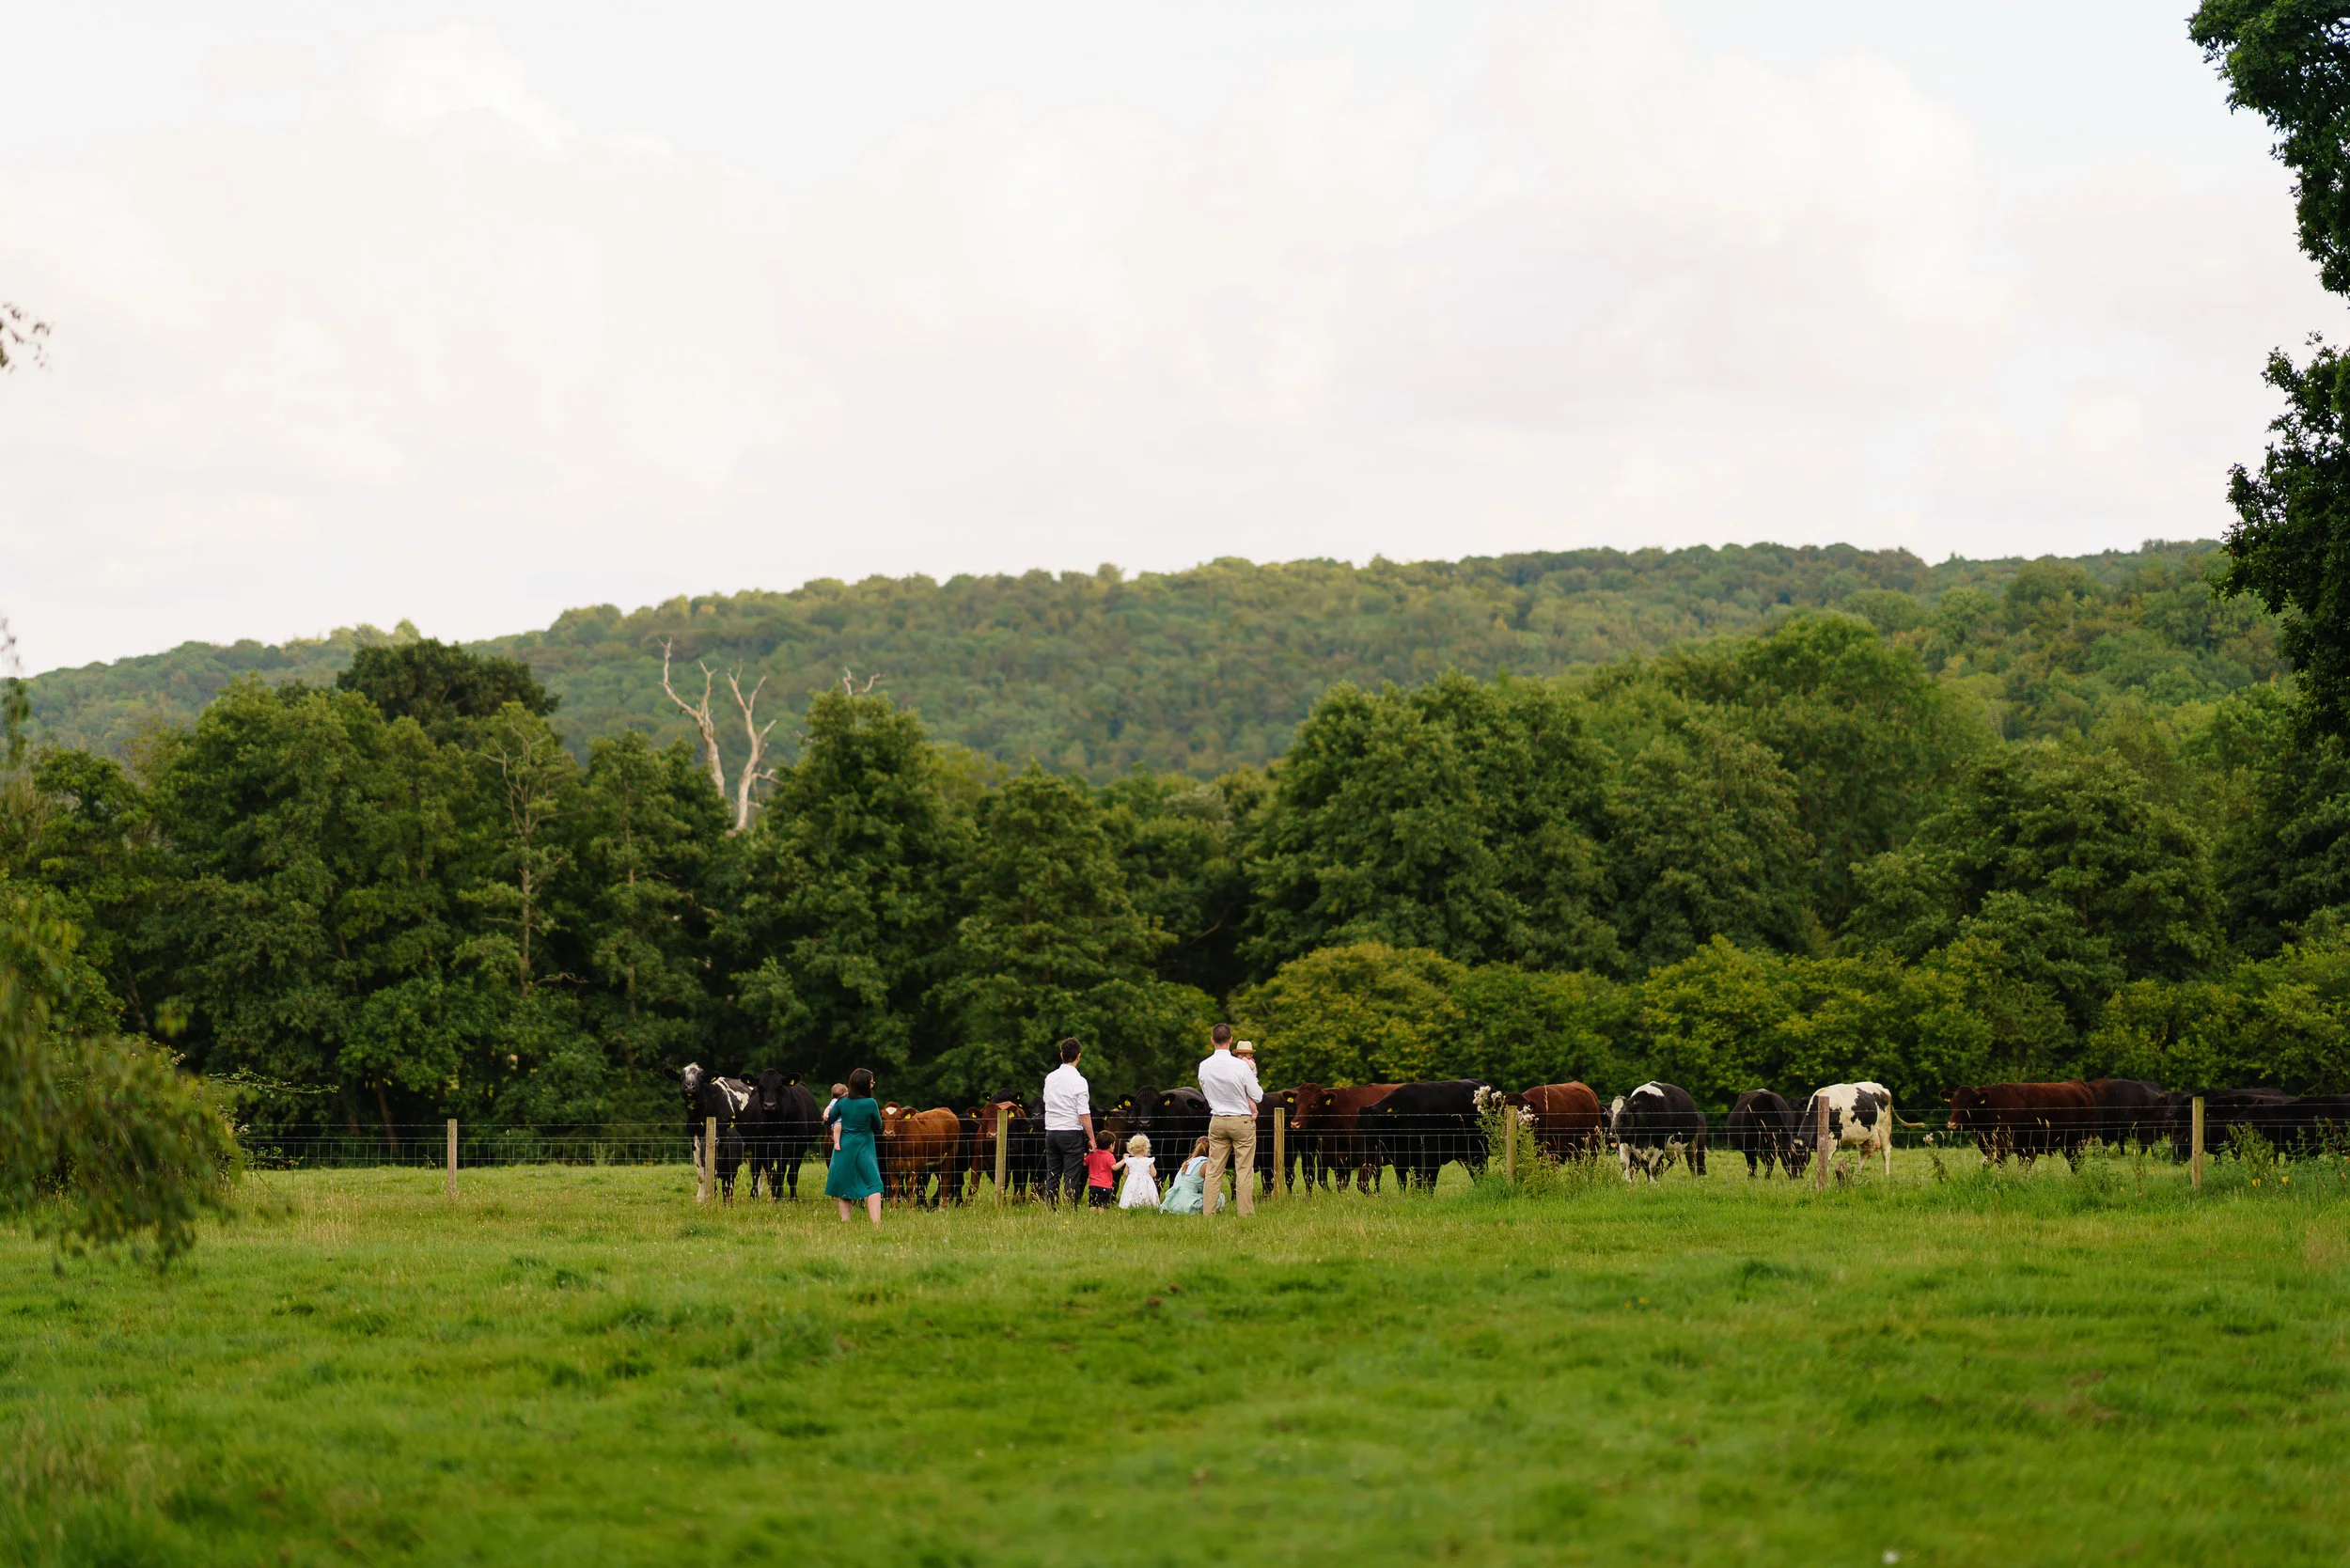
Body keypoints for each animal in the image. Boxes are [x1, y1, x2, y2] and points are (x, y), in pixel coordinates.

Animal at [1363, 1081, 1485, 1189]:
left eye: (1374, 1129)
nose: (1366, 1153)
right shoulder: (1401, 1162)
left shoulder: (1431, 1158)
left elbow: (1427, 1184)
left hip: (1478, 1153)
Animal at [1946, 1086, 2096, 1170]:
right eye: (1952, 1103)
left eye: (1970, 1105)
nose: (1952, 1124)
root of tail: (2079, 1085)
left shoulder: (2002, 1147)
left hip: (2076, 1143)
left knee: (2077, 1164)